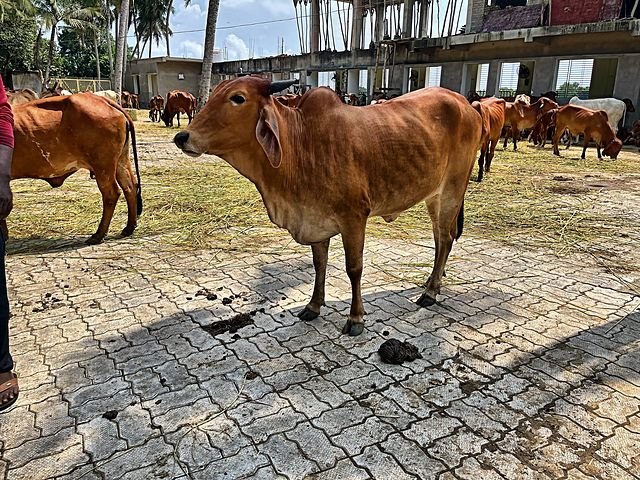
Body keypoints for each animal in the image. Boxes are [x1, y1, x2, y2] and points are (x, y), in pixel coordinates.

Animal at [11, 93, 143, 244]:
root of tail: (102, 99)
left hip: (103, 165)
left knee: (111, 194)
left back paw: (99, 234)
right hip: (120, 161)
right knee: (130, 187)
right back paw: (129, 227)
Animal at [172, 76, 482, 336]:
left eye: (237, 98)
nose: (182, 137)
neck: (301, 144)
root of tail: (467, 104)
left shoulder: (354, 218)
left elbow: (354, 268)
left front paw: (356, 318)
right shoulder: (314, 219)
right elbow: (319, 264)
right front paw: (313, 306)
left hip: (452, 190)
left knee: (445, 238)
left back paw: (430, 292)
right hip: (434, 196)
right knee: (441, 239)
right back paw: (434, 281)